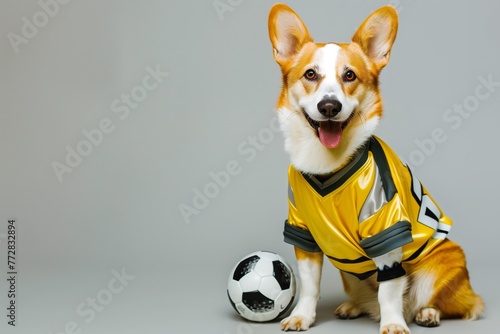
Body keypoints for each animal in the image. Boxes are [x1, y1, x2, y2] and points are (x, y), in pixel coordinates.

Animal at [270, 3, 484, 334]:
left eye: (349, 75)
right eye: (310, 74)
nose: (329, 107)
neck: (327, 161)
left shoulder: (386, 229)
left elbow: (390, 291)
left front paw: (393, 323)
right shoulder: (302, 232)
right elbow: (309, 285)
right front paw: (302, 317)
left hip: (444, 264)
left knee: (435, 301)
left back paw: (427, 314)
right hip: (349, 274)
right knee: (369, 298)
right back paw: (354, 307)